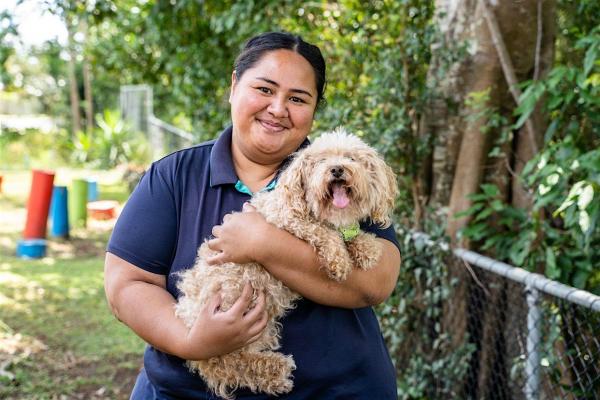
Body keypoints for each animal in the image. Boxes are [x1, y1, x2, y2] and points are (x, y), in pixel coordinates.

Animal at [175, 128, 398, 396]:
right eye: (321, 161)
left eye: (351, 158)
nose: (336, 169)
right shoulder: (285, 219)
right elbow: (324, 232)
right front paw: (339, 260)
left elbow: (352, 234)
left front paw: (367, 247)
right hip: (233, 314)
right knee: (224, 362)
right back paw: (276, 369)